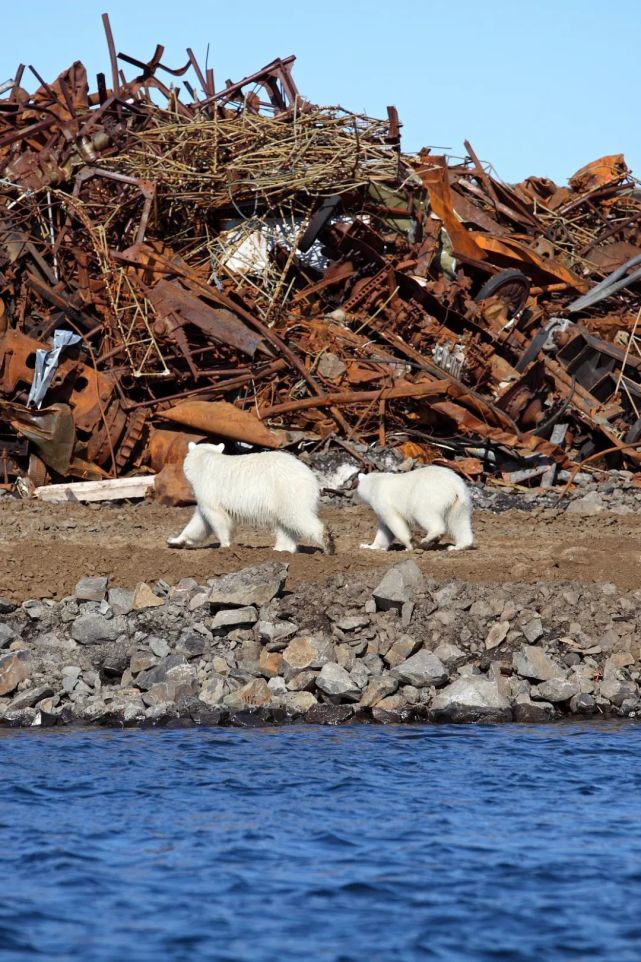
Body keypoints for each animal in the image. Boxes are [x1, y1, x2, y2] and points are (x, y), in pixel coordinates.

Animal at [165, 440, 336, 552]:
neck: (203, 461)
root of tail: (312, 477)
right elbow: (200, 521)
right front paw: (175, 540)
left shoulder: (208, 489)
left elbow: (216, 517)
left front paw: (225, 546)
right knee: (284, 526)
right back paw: (281, 549)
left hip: (287, 490)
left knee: (296, 516)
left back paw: (328, 543)